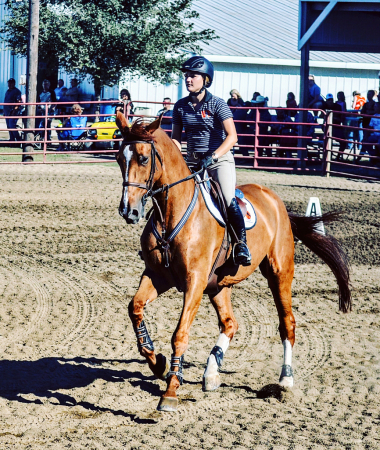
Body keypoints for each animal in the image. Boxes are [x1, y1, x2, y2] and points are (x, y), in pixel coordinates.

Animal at [115, 111, 350, 412]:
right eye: (120, 158)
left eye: (144, 158)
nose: (128, 211)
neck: (170, 213)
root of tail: (276, 201)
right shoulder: (157, 276)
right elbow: (135, 308)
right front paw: (158, 363)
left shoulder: (194, 281)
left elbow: (180, 334)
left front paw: (171, 390)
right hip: (218, 284)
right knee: (230, 323)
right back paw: (211, 373)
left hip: (279, 272)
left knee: (287, 323)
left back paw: (285, 381)